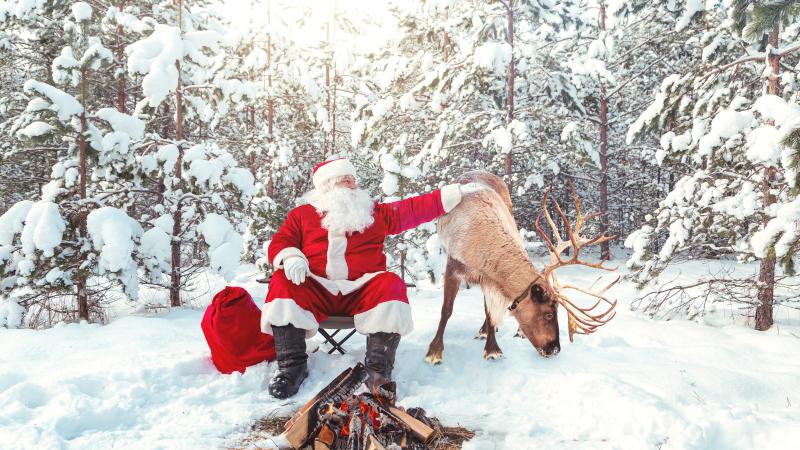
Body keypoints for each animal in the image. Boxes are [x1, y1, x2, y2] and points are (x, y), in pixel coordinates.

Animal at [425, 171, 618, 363]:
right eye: (549, 314)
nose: (554, 349)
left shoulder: (489, 279)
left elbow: (490, 313)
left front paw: (492, 349)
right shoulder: (454, 266)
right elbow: (446, 310)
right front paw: (434, 351)